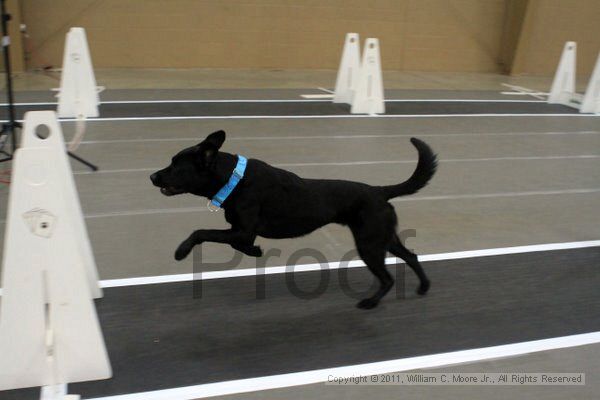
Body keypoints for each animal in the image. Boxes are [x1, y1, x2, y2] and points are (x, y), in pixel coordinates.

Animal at [152, 131, 438, 310]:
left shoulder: (242, 230)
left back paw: (370, 302)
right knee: (411, 256)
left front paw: (181, 251)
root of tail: (379, 191)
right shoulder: (241, 231)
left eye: (176, 165)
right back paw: (424, 287)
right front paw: (255, 251)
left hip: (369, 244)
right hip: (384, 238)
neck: (234, 179)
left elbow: (202, 231)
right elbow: (234, 242)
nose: (152, 176)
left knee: (388, 278)